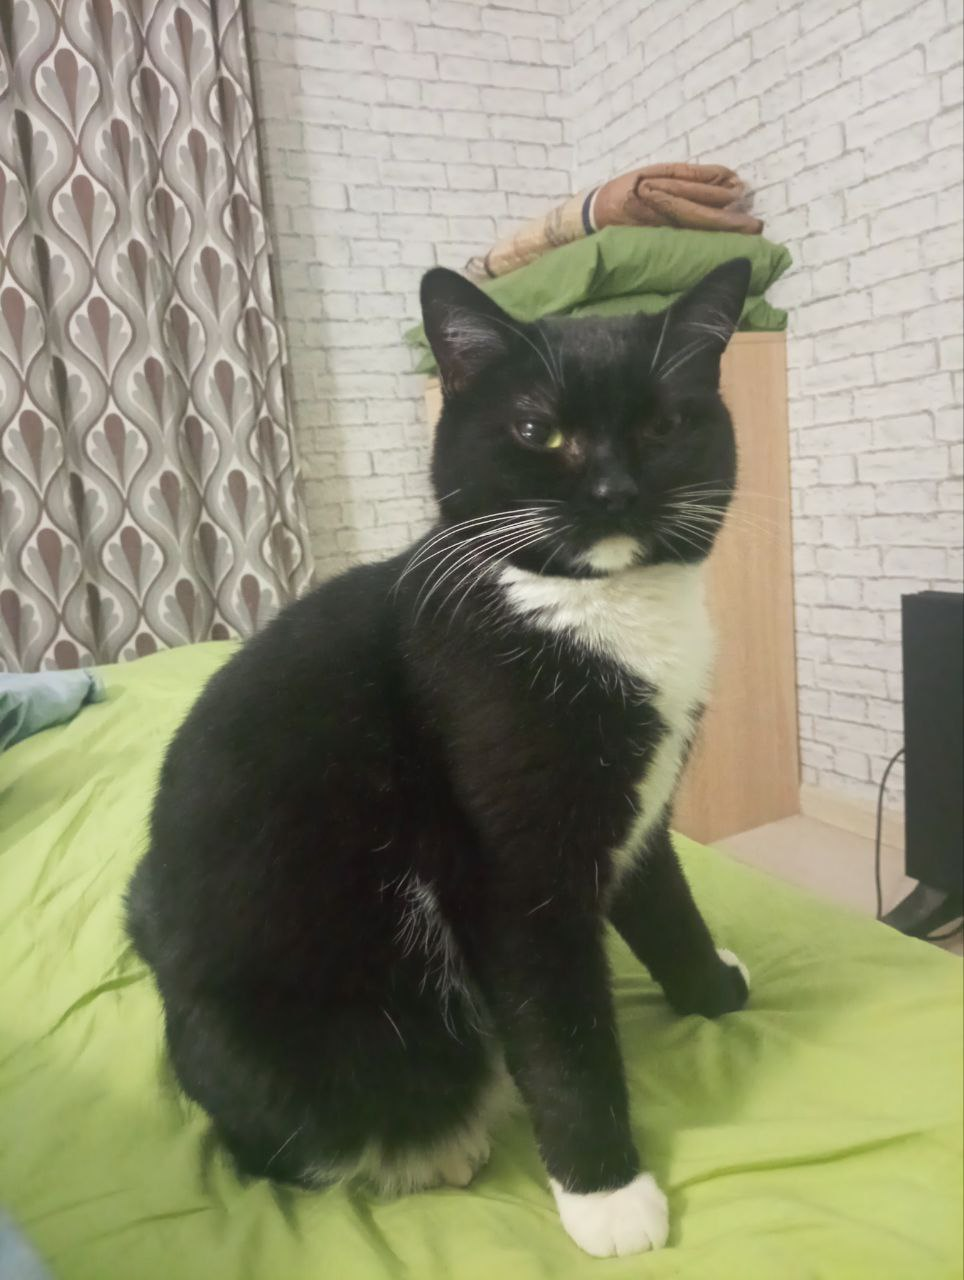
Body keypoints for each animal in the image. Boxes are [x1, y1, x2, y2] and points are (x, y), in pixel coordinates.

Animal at [126, 257, 752, 1259]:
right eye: (539, 431)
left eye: (663, 425)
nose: (613, 492)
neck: (597, 610)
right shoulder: (512, 867)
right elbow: (561, 1033)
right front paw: (608, 1195)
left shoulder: (638, 806)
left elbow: (667, 908)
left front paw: (715, 994)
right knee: (280, 1151)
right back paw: (435, 1150)